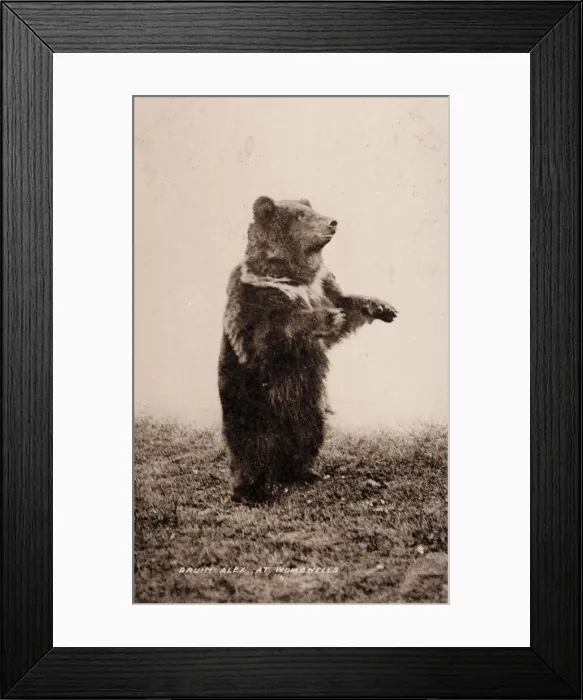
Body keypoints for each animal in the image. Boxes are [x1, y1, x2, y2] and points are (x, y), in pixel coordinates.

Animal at [218, 196, 397, 504]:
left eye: (313, 210)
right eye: (301, 217)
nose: (333, 221)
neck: (293, 276)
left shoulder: (322, 286)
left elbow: (346, 304)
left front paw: (382, 306)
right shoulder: (251, 296)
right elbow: (265, 333)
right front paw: (327, 317)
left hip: (309, 406)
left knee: (307, 437)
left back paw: (302, 473)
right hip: (249, 402)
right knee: (248, 447)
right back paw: (251, 491)